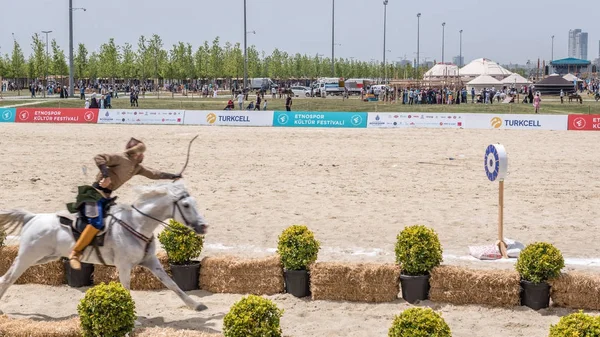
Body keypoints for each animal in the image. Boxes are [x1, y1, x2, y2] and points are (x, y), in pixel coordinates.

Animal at [0, 180, 209, 314]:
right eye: (186, 205)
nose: (203, 226)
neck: (137, 224)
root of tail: (32, 217)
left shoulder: (151, 261)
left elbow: (172, 284)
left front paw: (195, 305)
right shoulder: (123, 266)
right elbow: (126, 289)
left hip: (43, 258)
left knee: (7, 278)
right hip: (28, 257)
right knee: (8, 278)